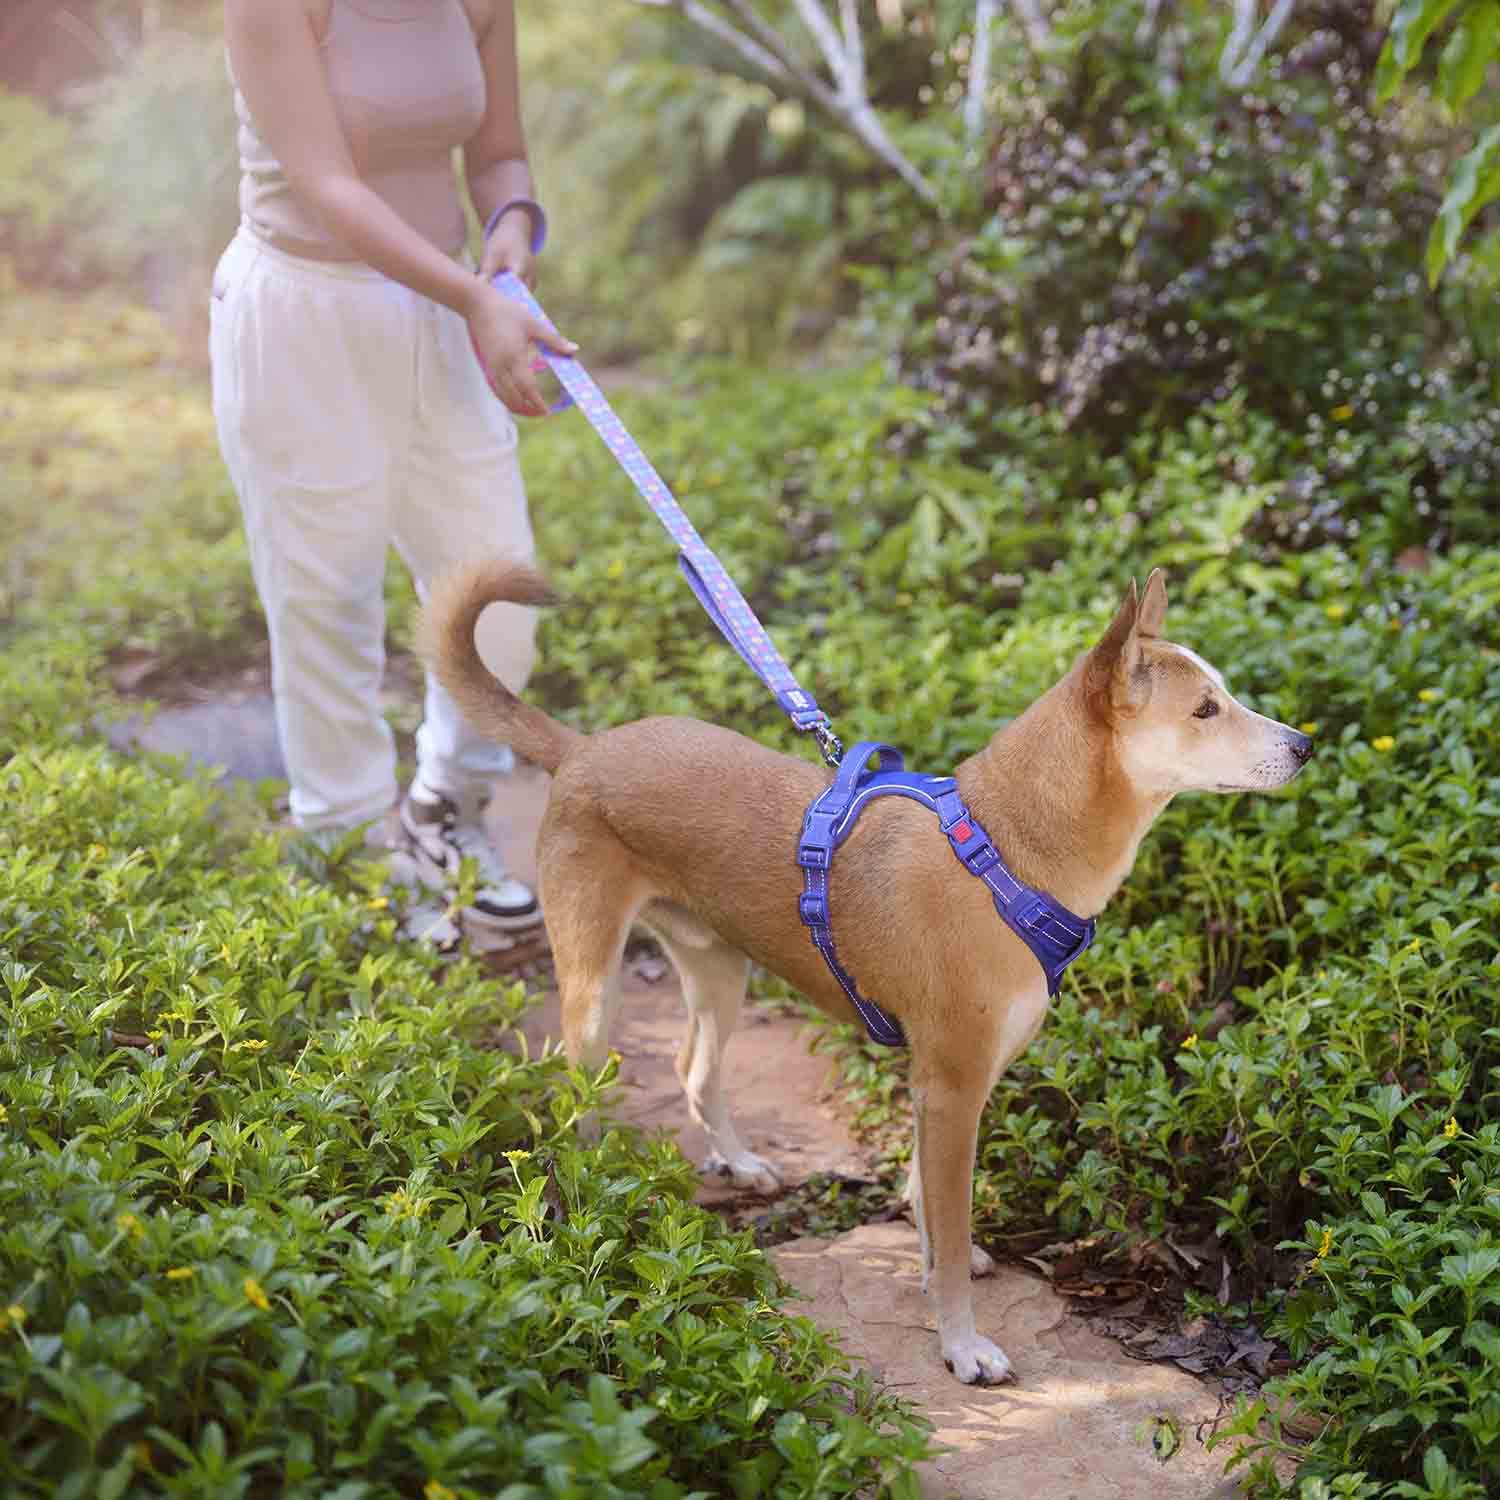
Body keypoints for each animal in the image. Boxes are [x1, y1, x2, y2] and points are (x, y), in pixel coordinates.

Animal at [423, 561, 1314, 1380]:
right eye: (1205, 710)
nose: (1305, 744)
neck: (1004, 849)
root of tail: (583, 748)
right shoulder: (951, 1087)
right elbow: (948, 1228)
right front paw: (961, 1345)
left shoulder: (953, 1085)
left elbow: (927, 1205)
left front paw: (934, 1272)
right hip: (592, 987)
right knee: (571, 1097)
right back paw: (590, 1204)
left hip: (718, 971)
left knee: (691, 1067)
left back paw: (737, 1162)